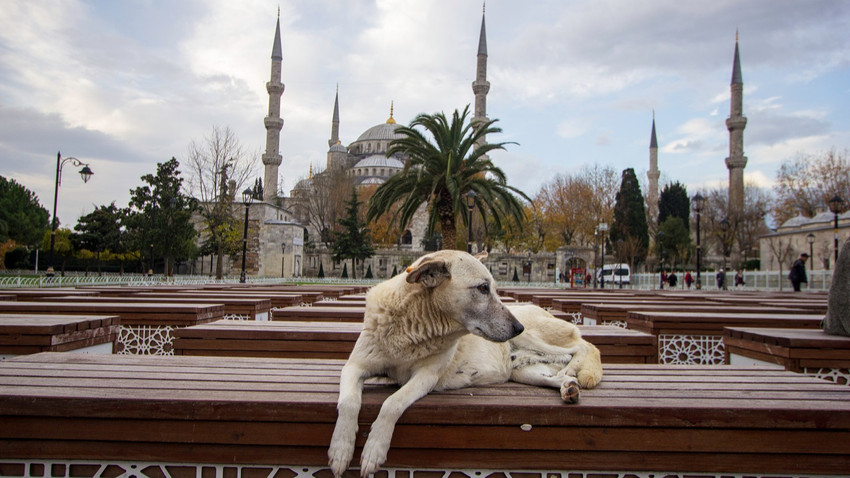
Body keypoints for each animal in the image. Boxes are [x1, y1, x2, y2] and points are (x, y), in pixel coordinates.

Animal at [326, 252, 604, 476]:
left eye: (494, 288)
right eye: (483, 288)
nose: (517, 327)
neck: (412, 328)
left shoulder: (426, 377)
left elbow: (391, 403)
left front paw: (374, 449)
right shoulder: (354, 366)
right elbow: (348, 403)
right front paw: (341, 449)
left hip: (537, 338)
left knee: (583, 347)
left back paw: (573, 370)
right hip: (523, 370)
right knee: (556, 371)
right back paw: (568, 386)